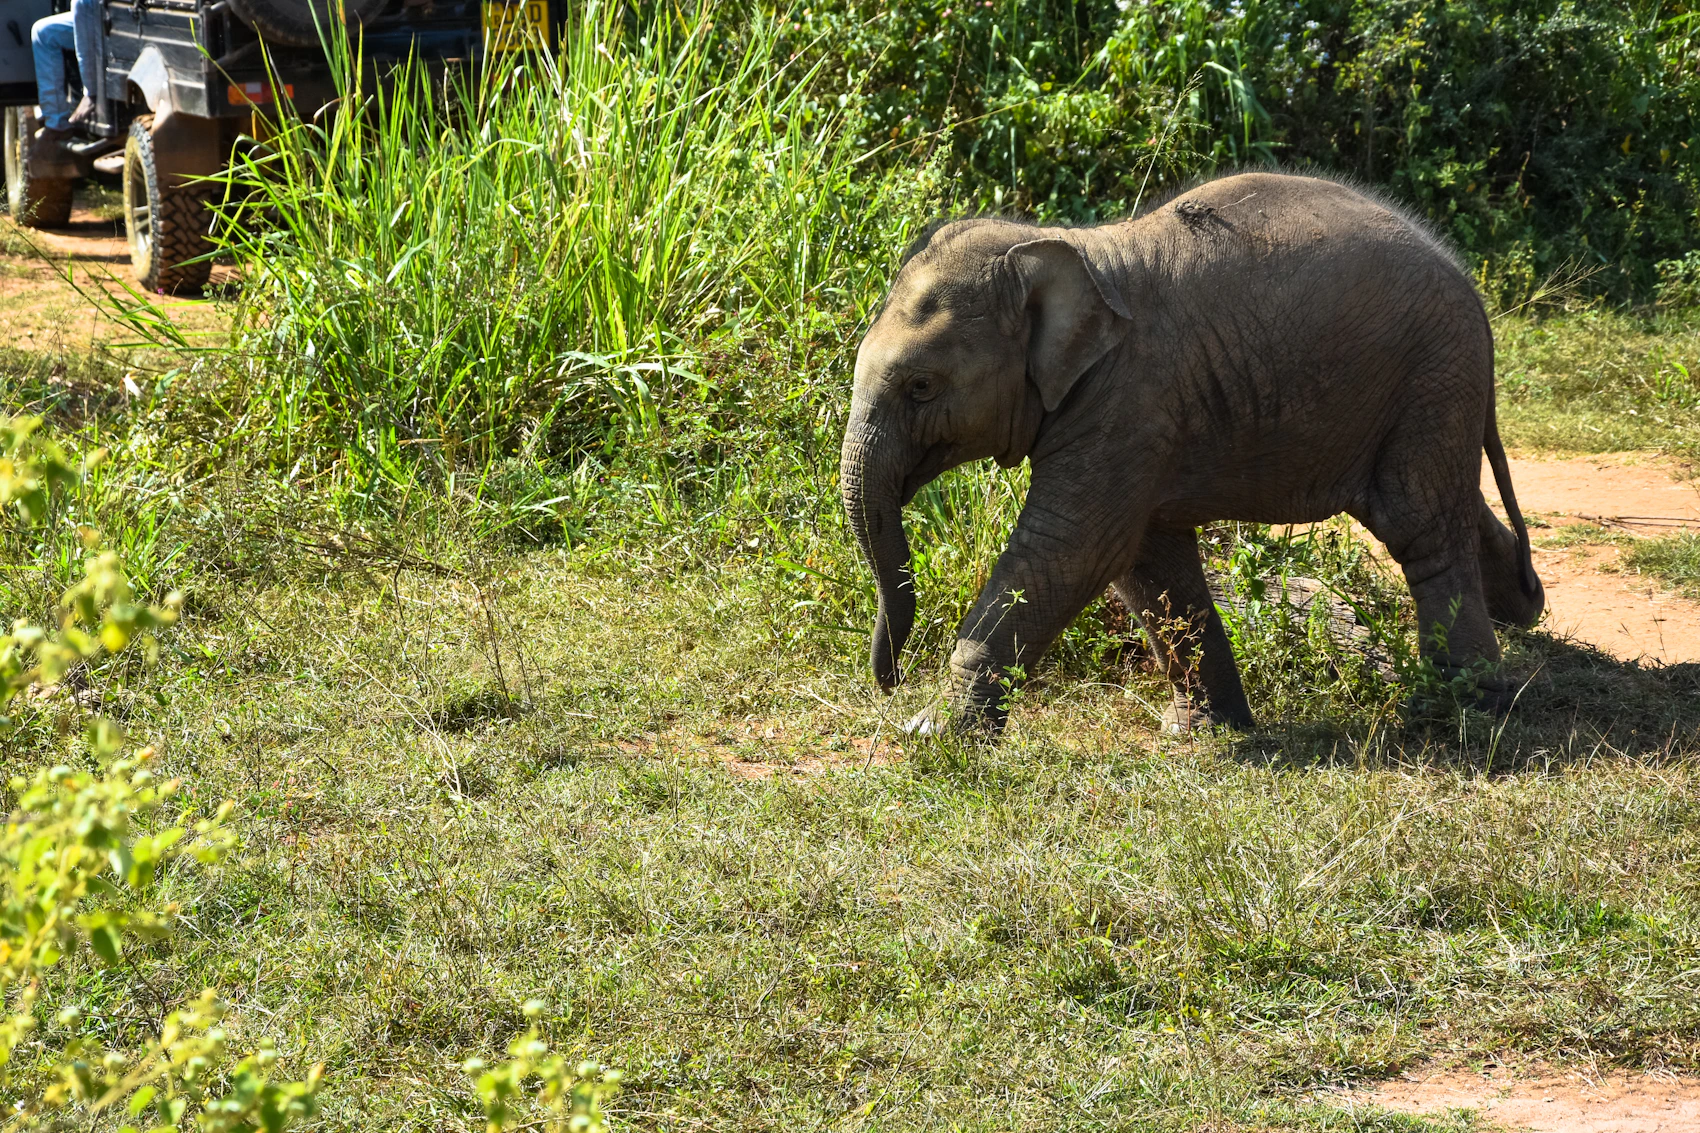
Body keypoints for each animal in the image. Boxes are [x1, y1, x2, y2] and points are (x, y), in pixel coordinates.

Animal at [839, 171, 1544, 735]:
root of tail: (1468, 284)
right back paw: (1524, 608)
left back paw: (1461, 713)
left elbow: (1072, 550)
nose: (889, 680)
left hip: (1431, 373)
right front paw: (1203, 731)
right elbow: (1145, 562)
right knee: (1443, 505)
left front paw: (930, 733)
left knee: (1420, 525)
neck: (1067, 248)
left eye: (921, 387)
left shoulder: (1128, 404)